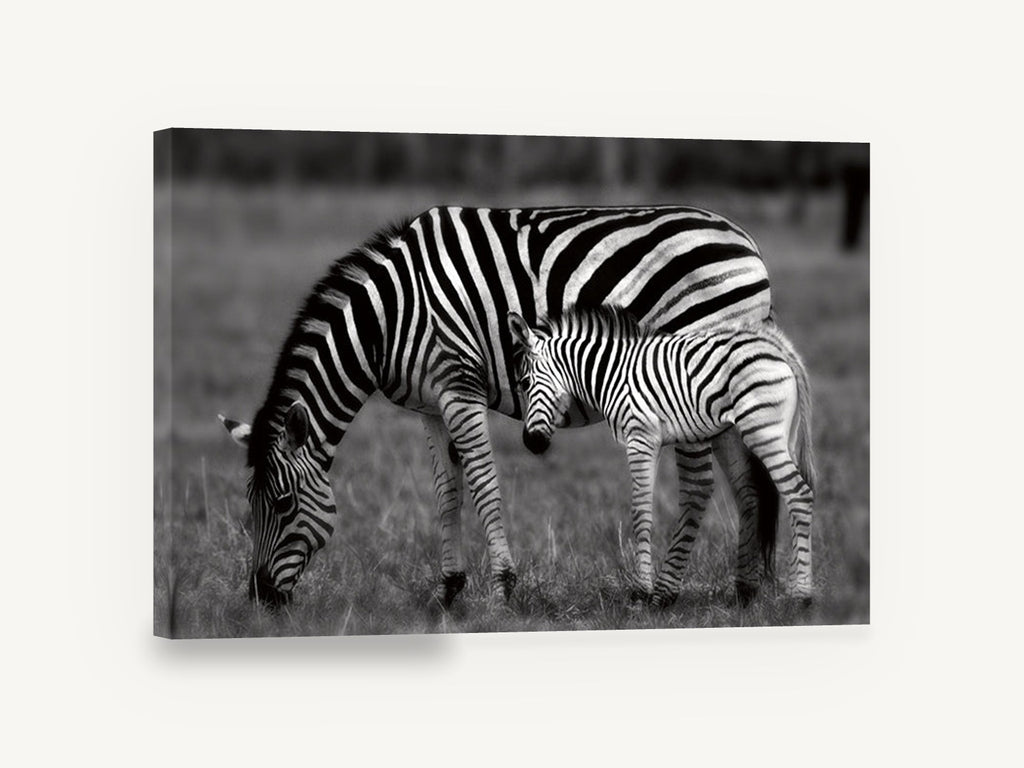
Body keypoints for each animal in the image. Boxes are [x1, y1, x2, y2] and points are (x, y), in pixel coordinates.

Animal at [219, 205, 777, 608]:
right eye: (249, 504)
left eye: (283, 504)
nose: (260, 600)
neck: (391, 317)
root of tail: (747, 242)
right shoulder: (429, 405)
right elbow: (447, 492)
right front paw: (448, 590)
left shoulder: (459, 386)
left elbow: (484, 484)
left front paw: (502, 588)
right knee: (747, 484)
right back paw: (745, 592)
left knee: (701, 486)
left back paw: (664, 594)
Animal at [507, 306, 816, 606]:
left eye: (525, 383)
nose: (530, 443)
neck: (611, 374)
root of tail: (777, 346)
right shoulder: (651, 441)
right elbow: (645, 508)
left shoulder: (639, 437)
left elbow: (640, 511)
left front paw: (641, 591)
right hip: (777, 434)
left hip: (762, 431)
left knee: (799, 494)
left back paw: (801, 596)